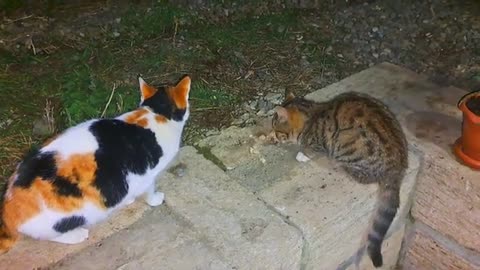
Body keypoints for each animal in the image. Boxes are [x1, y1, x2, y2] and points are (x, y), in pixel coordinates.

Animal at [0, 74, 191, 253]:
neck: (156, 114)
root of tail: (7, 210)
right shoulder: (148, 175)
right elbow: (149, 191)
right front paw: (155, 199)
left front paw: (127, 200)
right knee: (49, 235)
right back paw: (76, 235)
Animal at [272, 91, 406, 268]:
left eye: (275, 127)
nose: (272, 136)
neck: (310, 115)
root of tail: (397, 169)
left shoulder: (318, 146)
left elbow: (309, 151)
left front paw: (302, 155)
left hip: (348, 151)